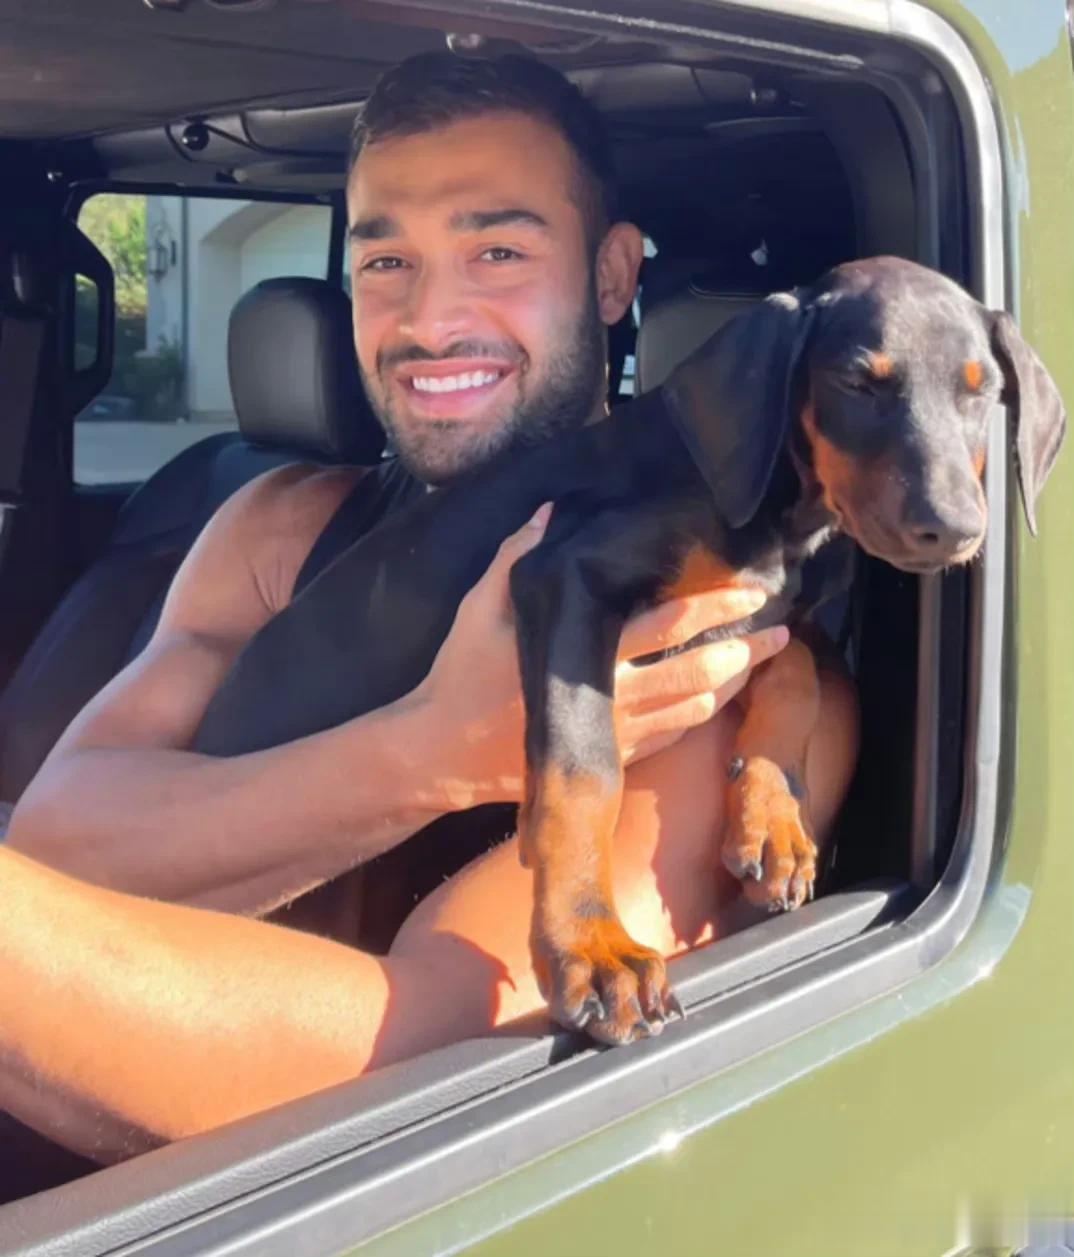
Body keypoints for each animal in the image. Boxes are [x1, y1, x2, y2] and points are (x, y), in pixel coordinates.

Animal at [194, 256, 1066, 1046]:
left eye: (982, 389)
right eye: (857, 381)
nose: (953, 528)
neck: (774, 508)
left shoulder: (766, 610)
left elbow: (797, 675)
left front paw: (771, 817)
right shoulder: (562, 572)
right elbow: (584, 767)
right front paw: (591, 943)